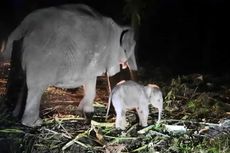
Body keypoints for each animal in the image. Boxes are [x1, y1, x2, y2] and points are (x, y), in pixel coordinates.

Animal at [1, 4, 137, 127]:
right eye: (130, 48)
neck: (119, 26)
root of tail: (23, 26)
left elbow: (90, 81)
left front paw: (84, 110)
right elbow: (90, 80)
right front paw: (87, 111)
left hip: (19, 50)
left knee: (23, 80)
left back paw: (16, 115)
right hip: (40, 58)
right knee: (36, 87)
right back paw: (34, 123)